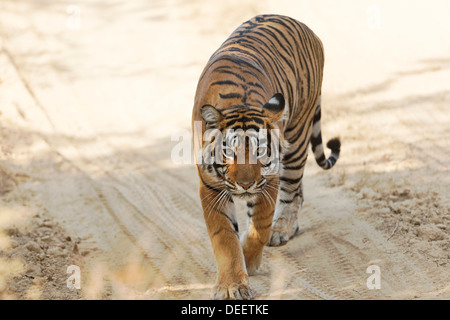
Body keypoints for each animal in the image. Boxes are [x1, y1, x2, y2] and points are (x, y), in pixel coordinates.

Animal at [191, 14, 342, 300]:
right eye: (230, 152)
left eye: (260, 151)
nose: (246, 185)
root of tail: (302, 24)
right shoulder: (210, 187)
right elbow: (224, 238)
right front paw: (232, 285)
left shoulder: (268, 180)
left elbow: (259, 227)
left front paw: (249, 262)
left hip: (297, 137)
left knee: (293, 192)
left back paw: (281, 229)